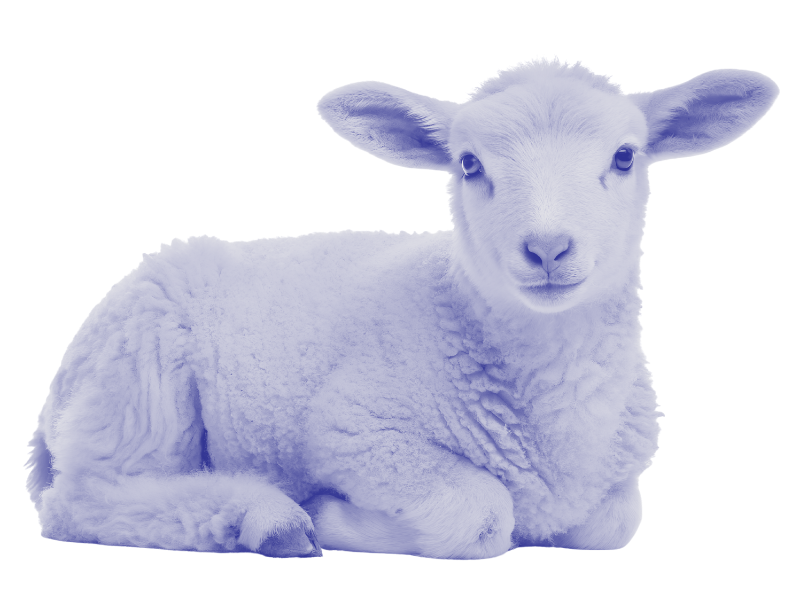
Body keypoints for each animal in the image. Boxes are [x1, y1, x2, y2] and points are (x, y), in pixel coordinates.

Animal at [26, 55, 780, 560]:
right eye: (469, 164)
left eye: (625, 157)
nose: (547, 248)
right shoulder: (355, 431)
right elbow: (481, 510)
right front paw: (334, 516)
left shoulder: (617, 482)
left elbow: (604, 523)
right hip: (141, 384)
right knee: (82, 501)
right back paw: (265, 518)